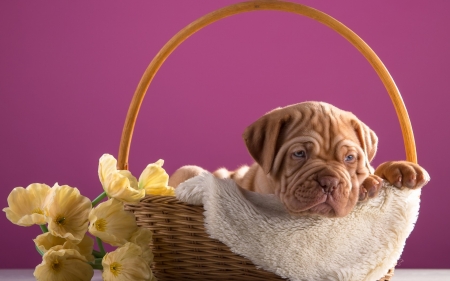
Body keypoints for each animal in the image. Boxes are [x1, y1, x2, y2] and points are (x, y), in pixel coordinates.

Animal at [169, 101, 428, 218]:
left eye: (350, 157)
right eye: (299, 154)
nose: (330, 183)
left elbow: (374, 168)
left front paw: (401, 169)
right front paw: (365, 186)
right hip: (191, 170)